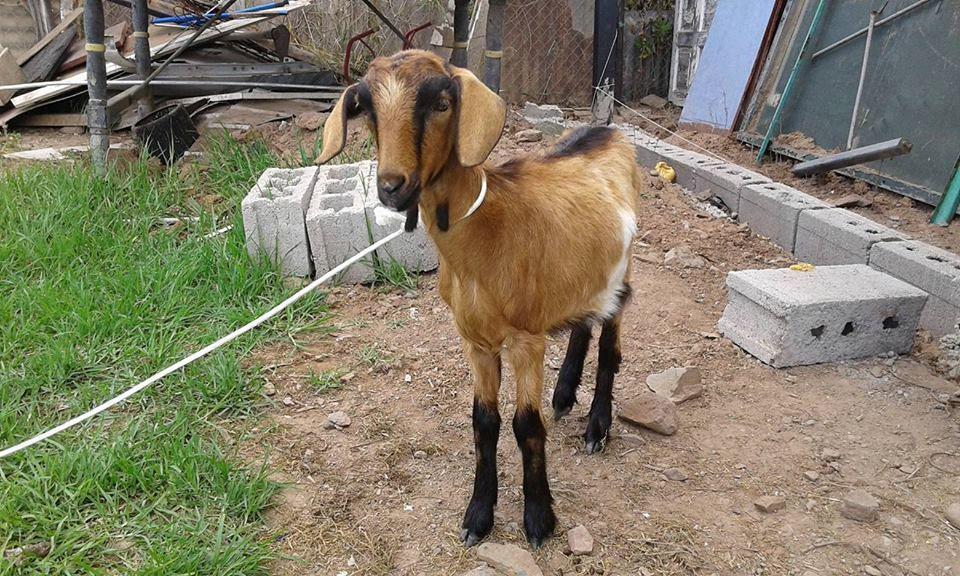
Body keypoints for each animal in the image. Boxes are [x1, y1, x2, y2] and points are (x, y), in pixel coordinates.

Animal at [317, 50, 641, 549]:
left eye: (441, 103)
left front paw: (538, 519)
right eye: (366, 109)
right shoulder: (475, 341)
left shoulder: (526, 341)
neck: (485, 231)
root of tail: (607, 130)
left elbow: (526, 426)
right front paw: (478, 515)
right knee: (582, 323)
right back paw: (565, 393)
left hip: (622, 271)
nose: (392, 185)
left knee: (609, 346)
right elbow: (483, 423)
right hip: (580, 271)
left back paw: (596, 428)